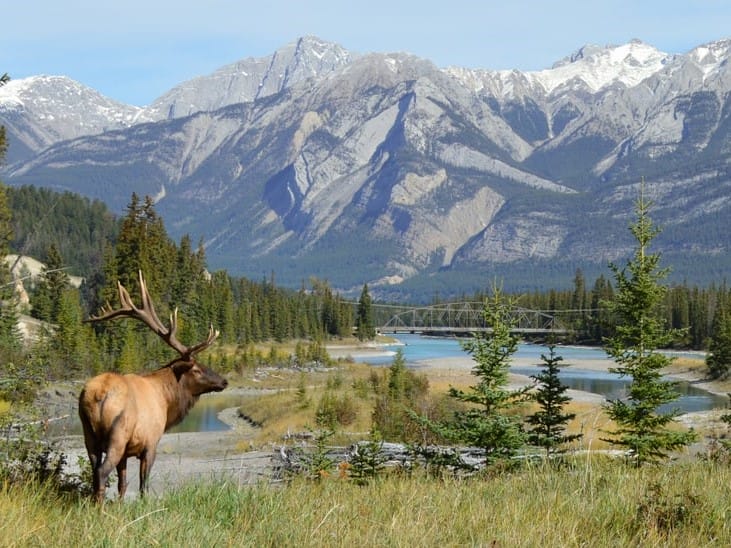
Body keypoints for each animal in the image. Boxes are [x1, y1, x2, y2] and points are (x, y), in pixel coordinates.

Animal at [77, 272, 226, 504]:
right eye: (197, 369)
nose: (224, 381)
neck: (166, 400)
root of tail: (97, 394)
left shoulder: (126, 452)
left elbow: (122, 485)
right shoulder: (151, 443)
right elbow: (142, 485)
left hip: (88, 434)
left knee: (94, 471)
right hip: (117, 434)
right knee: (101, 472)